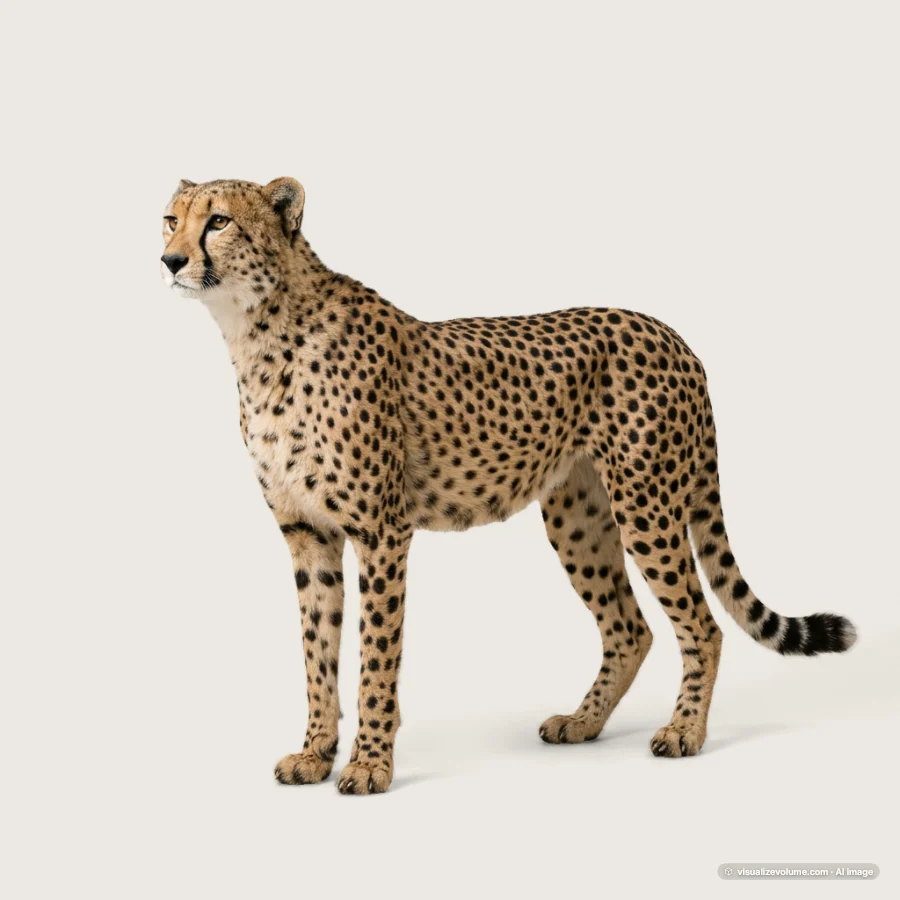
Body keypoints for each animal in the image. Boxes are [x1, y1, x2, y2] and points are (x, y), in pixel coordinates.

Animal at [160, 177, 856, 794]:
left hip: (645, 506)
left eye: (218, 222)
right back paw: (582, 722)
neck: (257, 334)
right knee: (630, 628)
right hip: (578, 517)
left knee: (702, 626)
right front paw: (314, 754)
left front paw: (370, 765)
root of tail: (672, 335)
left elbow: (375, 658)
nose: (169, 260)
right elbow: (317, 653)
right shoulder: (308, 535)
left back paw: (684, 731)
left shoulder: (382, 533)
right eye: (171, 219)